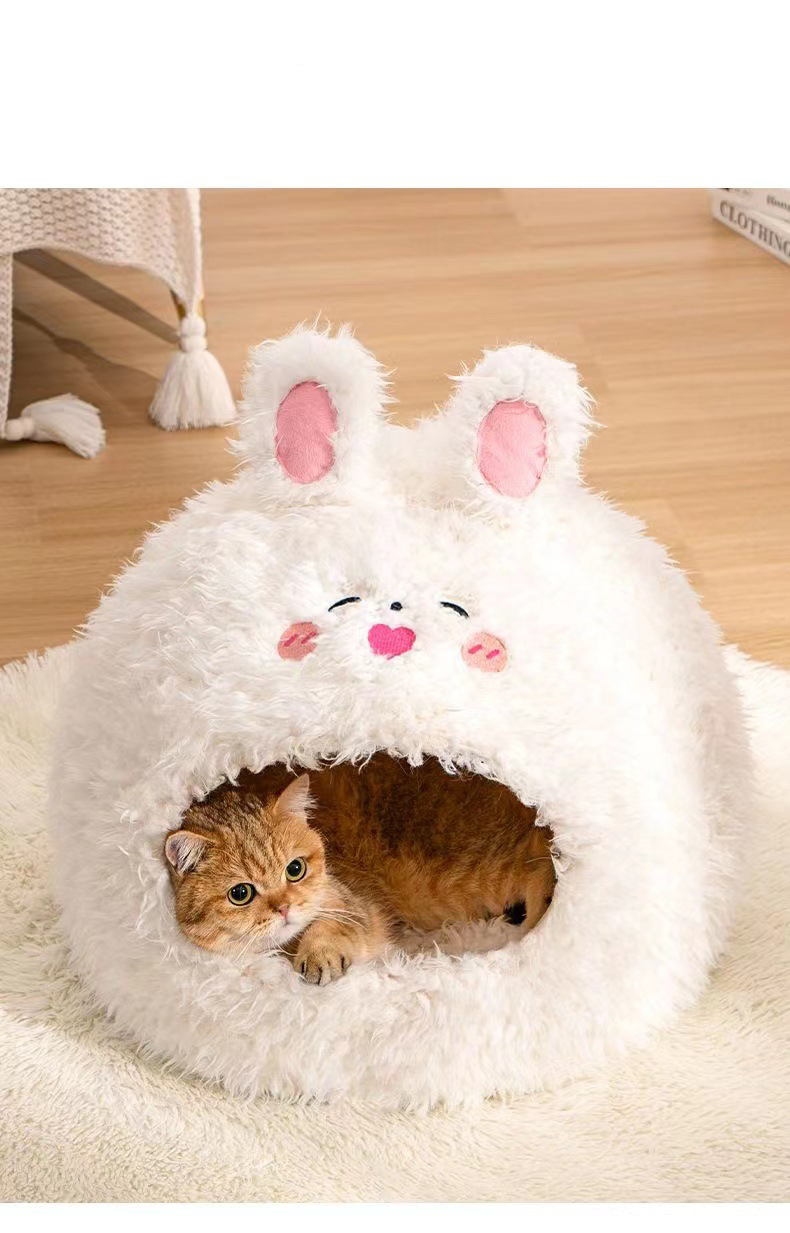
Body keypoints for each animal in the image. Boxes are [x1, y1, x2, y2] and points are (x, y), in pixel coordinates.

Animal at [165, 755, 556, 984]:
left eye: (295, 869)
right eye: (240, 893)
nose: (285, 908)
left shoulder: (353, 903)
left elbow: (331, 925)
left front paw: (319, 953)